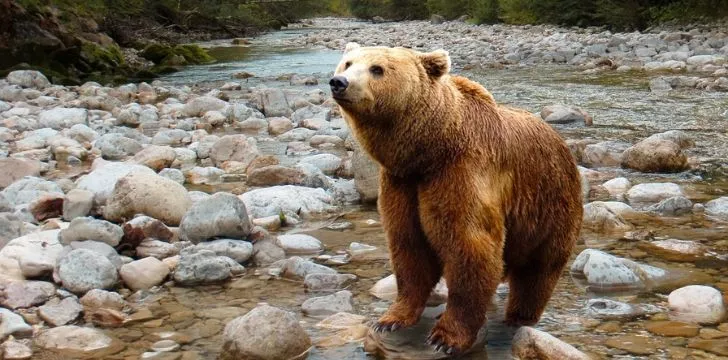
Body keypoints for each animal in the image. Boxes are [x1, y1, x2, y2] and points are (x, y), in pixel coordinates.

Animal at [332, 42, 584, 354]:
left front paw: (445, 337)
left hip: (549, 204)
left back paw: (518, 316)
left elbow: (469, 247)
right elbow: (408, 247)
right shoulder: (402, 184)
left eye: (377, 69)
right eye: (347, 63)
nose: (339, 82)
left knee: (538, 270)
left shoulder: (460, 173)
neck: (428, 151)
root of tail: (562, 142)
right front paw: (390, 319)